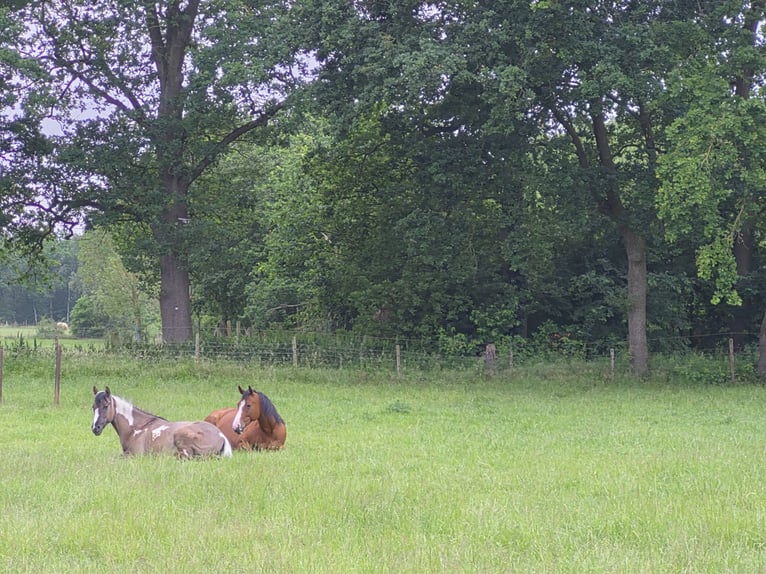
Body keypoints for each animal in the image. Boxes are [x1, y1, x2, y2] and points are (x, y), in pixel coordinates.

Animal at [92, 386, 232, 459]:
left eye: (105, 406)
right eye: (93, 407)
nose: (95, 428)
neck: (136, 428)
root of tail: (222, 436)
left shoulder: (135, 455)